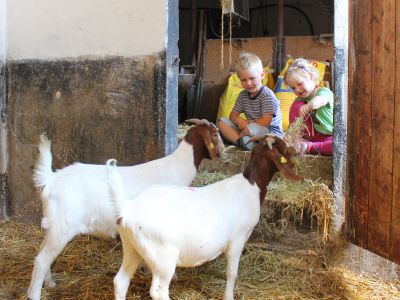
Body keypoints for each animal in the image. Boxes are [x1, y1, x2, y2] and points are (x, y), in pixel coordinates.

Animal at [26, 121, 223, 300]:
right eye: (215, 134)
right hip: (63, 226)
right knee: (41, 259)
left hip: (54, 224)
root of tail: (51, 179)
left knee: (42, 252)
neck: (178, 168)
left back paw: (49, 283)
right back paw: (35, 294)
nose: (222, 154)